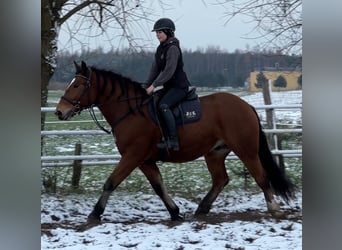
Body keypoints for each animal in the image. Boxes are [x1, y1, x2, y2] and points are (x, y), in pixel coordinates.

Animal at [55, 61, 294, 222]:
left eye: (76, 86)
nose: (59, 112)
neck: (131, 111)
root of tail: (246, 106)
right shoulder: (145, 160)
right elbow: (159, 186)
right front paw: (175, 212)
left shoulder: (132, 156)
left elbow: (111, 182)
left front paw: (95, 213)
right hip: (215, 152)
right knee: (220, 179)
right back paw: (202, 208)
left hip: (246, 150)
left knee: (261, 176)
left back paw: (274, 208)